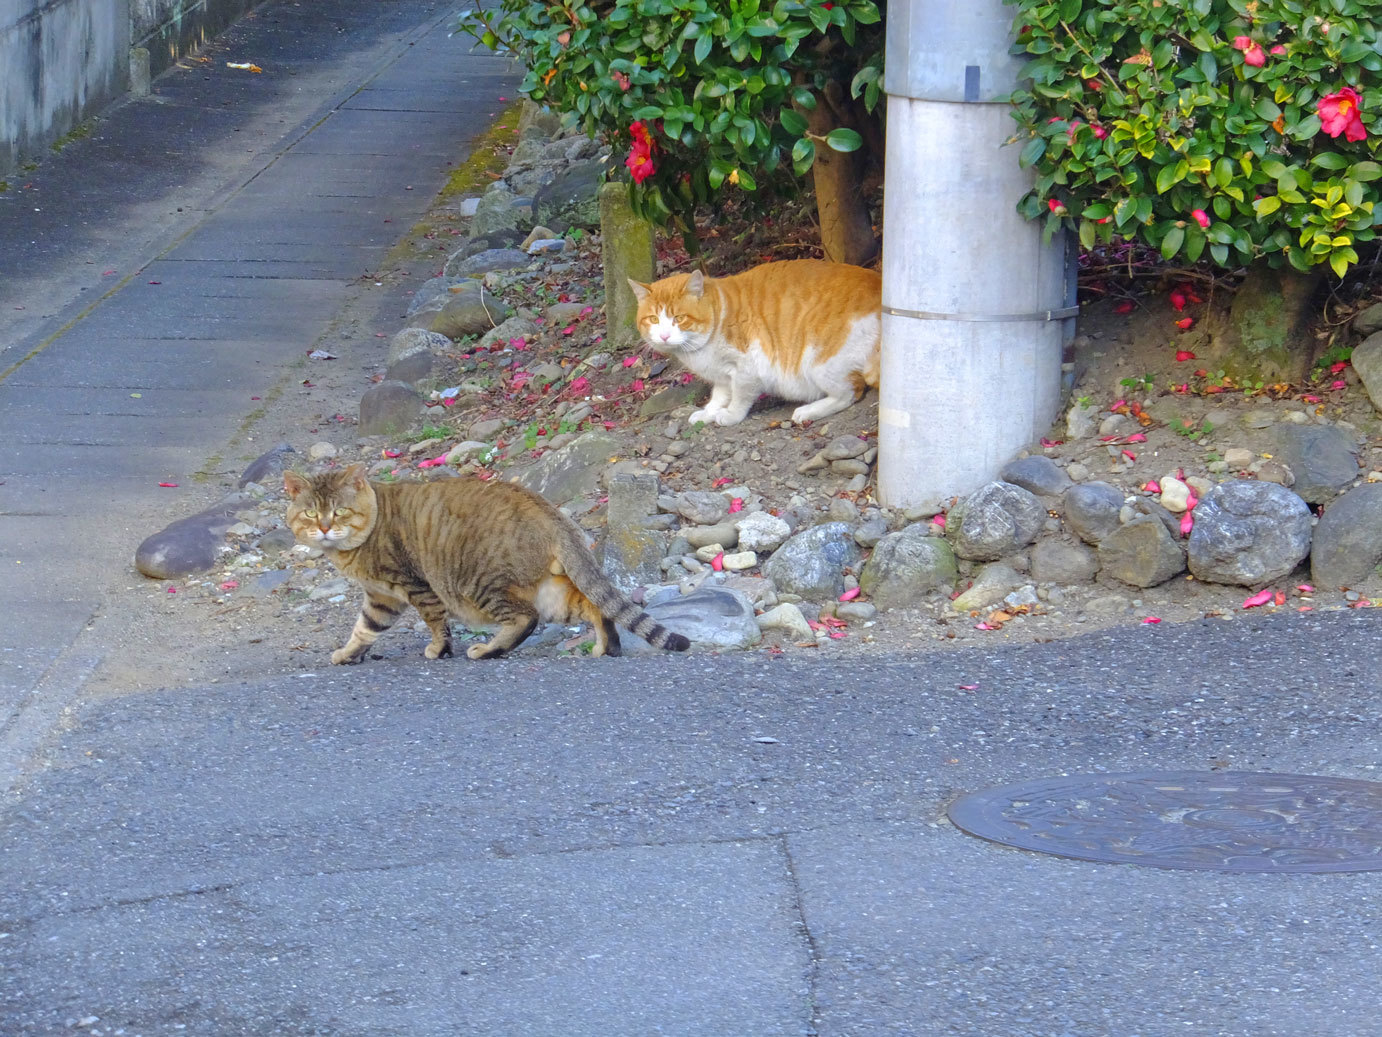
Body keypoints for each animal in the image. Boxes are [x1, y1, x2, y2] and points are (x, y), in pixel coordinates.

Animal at [281, 464, 691, 660]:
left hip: (479, 582)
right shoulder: (381, 598)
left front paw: (438, 651)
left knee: (525, 619)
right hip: (552, 593)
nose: (323, 528)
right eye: (310, 514)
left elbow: (436, 625)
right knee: (596, 607)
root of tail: (548, 510)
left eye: (339, 511)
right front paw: (349, 654)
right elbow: (364, 629)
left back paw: (488, 650)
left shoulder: (416, 586)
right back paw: (607, 647)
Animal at [630, 261, 878, 428]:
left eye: (679, 318)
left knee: (850, 393)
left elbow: (740, 396)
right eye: (653, 319)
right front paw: (709, 412)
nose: (664, 336)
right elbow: (719, 396)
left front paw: (730, 415)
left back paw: (807, 411)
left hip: (819, 363)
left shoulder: (748, 367)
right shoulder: (721, 376)